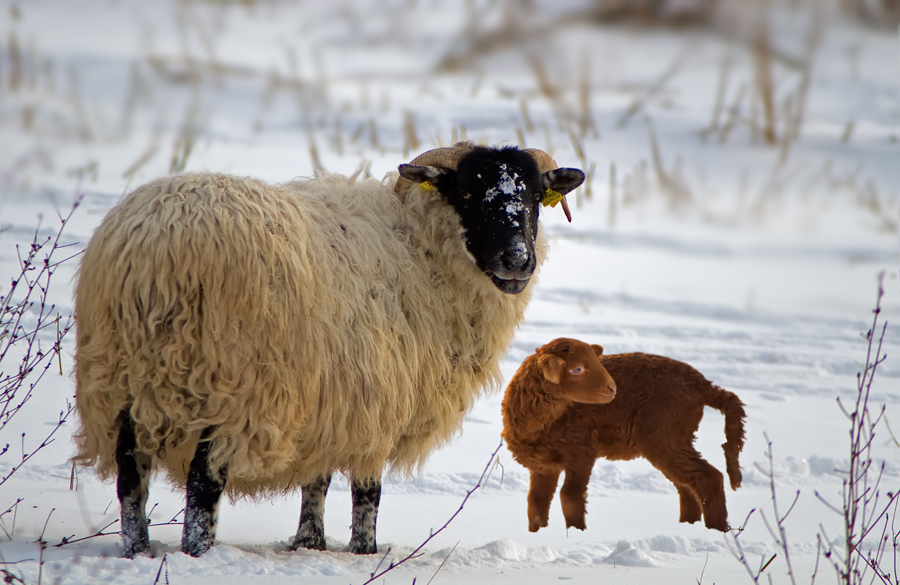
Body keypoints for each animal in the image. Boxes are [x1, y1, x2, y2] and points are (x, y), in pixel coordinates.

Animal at [74, 141, 588, 556]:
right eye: (466, 194)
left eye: (533, 198)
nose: (517, 261)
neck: (421, 252)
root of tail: (158, 250)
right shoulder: (376, 401)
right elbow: (367, 492)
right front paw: (364, 551)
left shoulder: (330, 403)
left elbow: (316, 482)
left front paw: (309, 542)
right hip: (225, 385)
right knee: (203, 487)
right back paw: (196, 554)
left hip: (121, 384)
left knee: (130, 481)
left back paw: (137, 551)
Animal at [502, 338, 748, 532]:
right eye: (576, 369)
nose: (612, 389)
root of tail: (703, 385)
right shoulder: (543, 465)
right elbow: (536, 503)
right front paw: (537, 534)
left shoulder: (581, 451)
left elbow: (569, 497)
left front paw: (576, 532)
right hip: (673, 439)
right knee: (687, 486)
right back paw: (689, 527)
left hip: (667, 437)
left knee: (708, 478)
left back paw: (717, 531)